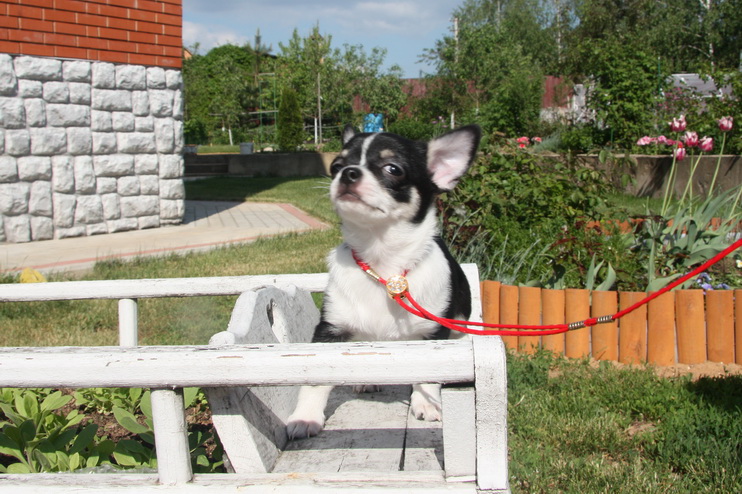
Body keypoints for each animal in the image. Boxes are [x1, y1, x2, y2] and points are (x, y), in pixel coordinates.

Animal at [286, 123, 482, 439]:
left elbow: (430, 372)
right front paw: (305, 417)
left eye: (393, 169)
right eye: (336, 166)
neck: (383, 263)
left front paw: (426, 403)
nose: (348, 172)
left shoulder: (433, 334)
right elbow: (316, 376)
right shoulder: (330, 331)